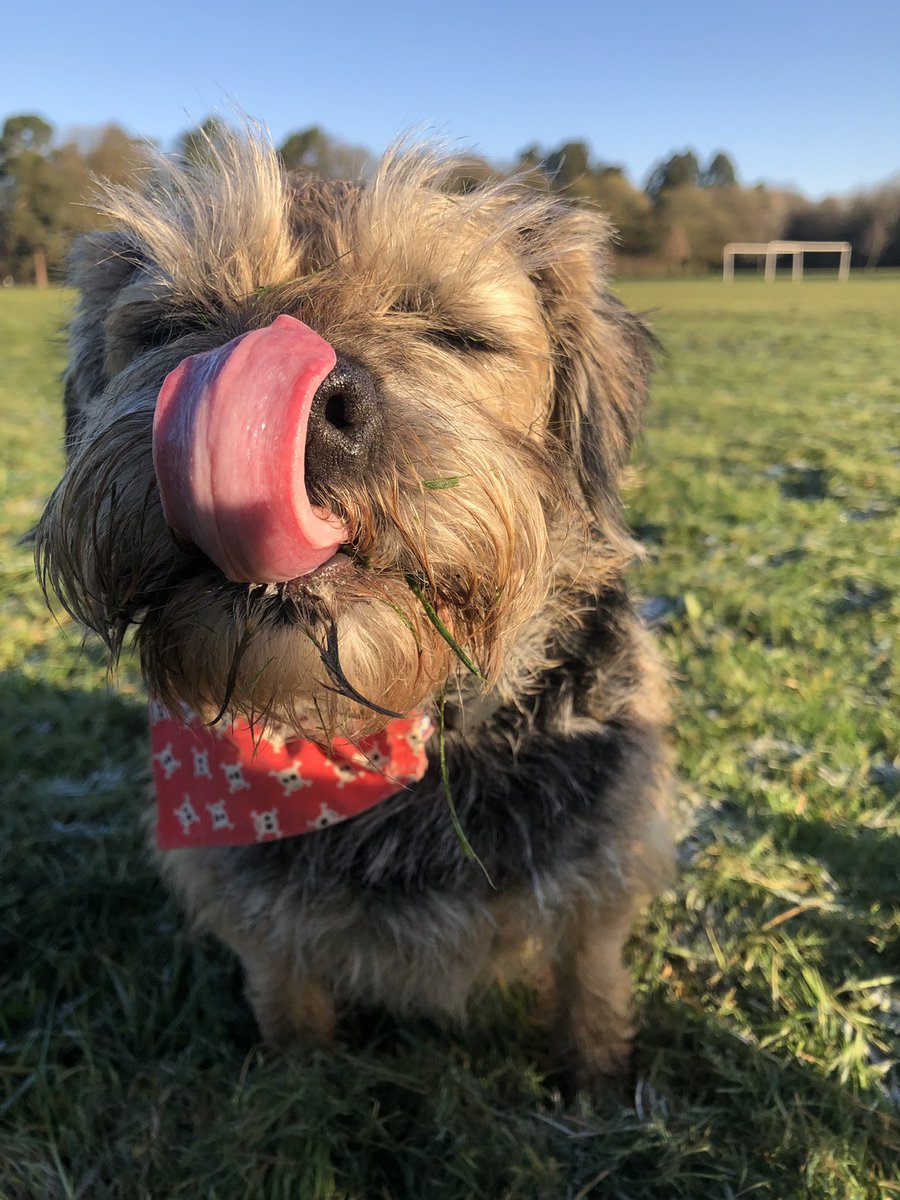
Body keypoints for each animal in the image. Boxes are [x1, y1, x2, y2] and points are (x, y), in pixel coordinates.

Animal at [38, 129, 672, 1089]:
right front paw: (297, 1082)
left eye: (454, 332)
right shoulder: (256, 918)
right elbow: (288, 997)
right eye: (173, 324)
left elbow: (587, 983)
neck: (370, 736)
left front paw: (593, 1079)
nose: (297, 413)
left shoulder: (597, 872)